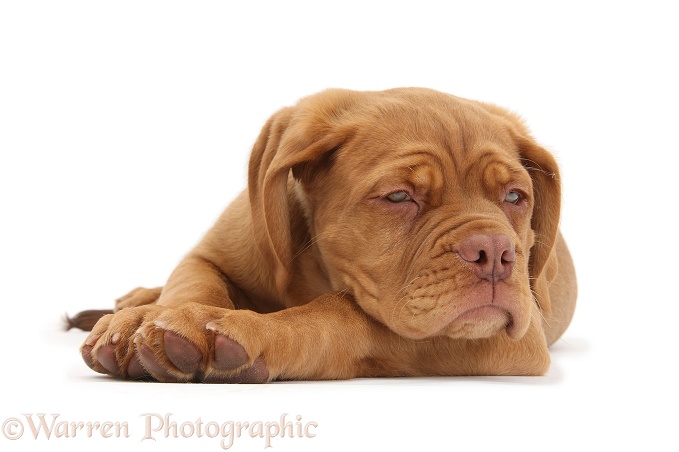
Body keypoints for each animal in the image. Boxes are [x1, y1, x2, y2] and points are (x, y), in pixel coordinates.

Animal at [71, 87, 576, 382]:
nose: (495, 252)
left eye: (515, 197)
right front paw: (152, 320)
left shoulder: (508, 340)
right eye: (398, 197)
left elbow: (343, 315)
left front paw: (250, 328)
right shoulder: (210, 253)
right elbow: (193, 281)